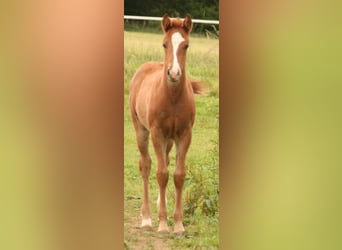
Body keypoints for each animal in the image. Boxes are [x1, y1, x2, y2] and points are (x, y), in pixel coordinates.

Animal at [128, 14, 204, 234]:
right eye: (164, 44)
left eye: (186, 45)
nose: (174, 73)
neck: (172, 97)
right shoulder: (157, 133)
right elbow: (161, 174)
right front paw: (162, 223)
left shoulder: (184, 134)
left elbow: (178, 175)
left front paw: (178, 224)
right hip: (141, 130)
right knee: (146, 165)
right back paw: (146, 218)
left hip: (169, 140)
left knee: (166, 162)